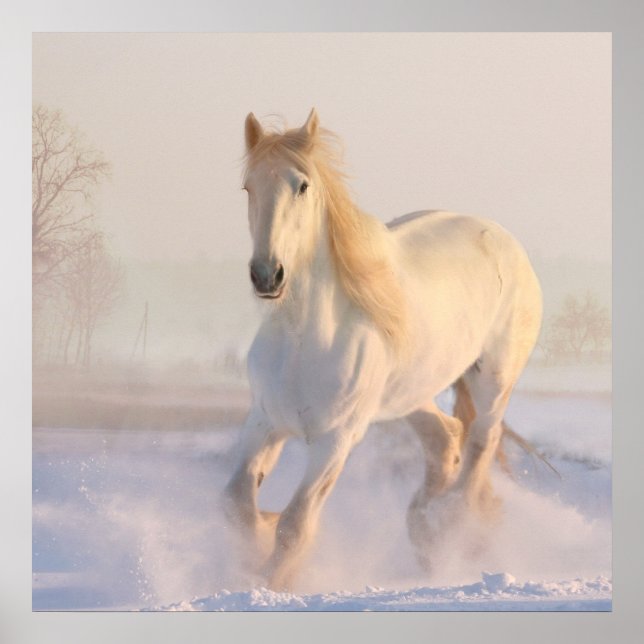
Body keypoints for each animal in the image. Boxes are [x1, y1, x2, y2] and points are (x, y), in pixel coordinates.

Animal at [223, 108, 542, 590]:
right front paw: (257, 544)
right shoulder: (264, 422)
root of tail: (505, 241)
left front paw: (273, 580)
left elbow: (295, 525)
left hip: (493, 379)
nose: (267, 275)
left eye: (302, 185)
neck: (303, 339)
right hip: (410, 394)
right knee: (446, 438)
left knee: (481, 443)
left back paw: (451, 527)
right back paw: (424, 529)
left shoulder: (336, 439)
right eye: (248, 186)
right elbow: (238, 505)